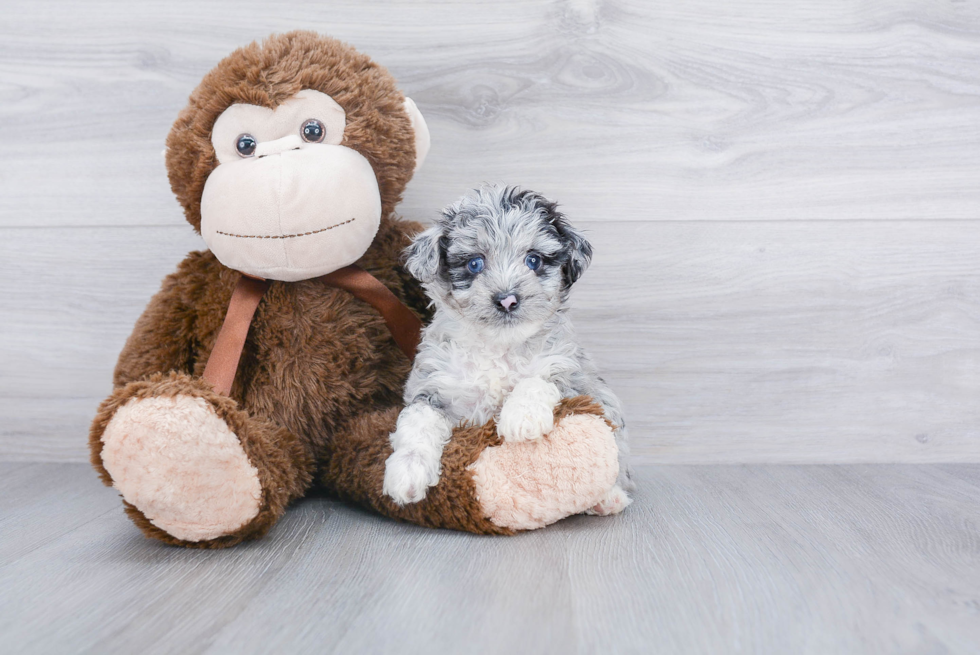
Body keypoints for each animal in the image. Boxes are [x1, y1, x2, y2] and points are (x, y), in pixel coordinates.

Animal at [382, 186, 636, 516]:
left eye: (534, 260)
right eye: (474, 263)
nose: (506, 300)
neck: (498, 346)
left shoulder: (573, 372)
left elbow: (539, 379)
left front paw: (521, 417)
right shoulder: (433, 387)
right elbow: (417, 421)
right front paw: (406, 472)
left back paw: (608, 499)